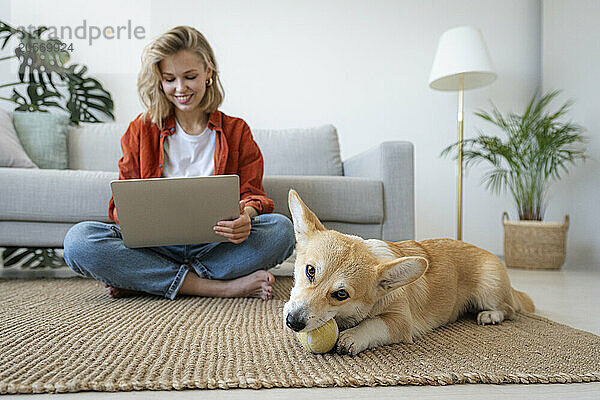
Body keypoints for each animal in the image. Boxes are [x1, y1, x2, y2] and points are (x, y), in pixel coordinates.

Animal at [284, 189, 536, 354]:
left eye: (341, 294)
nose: (292, 322)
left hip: (488, 290)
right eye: (310, 271)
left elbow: (373, 324)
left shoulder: (400, 321)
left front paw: (353, 336)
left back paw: (491, 315)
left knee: (510, 309)